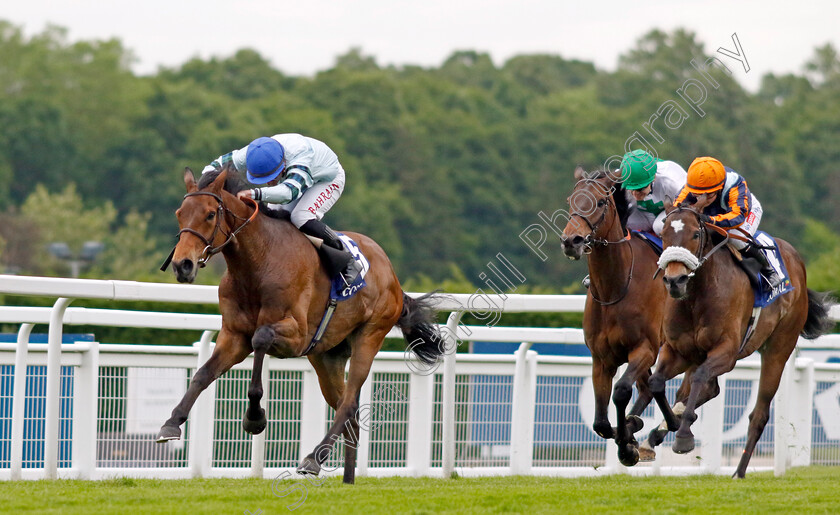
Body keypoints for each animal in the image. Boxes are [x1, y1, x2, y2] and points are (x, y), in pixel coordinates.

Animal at [155, 168, 442, 484]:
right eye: (180, 213)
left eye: (209, 214)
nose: (182, 265)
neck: (258, 263)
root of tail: (393, 278)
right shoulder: (234, 335)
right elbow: (203, 374)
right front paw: (171, 424)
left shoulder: (296, 336)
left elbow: (261, 338)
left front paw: (255, 419)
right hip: (326, 357)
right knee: (348, 411)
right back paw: (348, 479)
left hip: (370, 335)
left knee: (349, 404)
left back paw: (313, 459)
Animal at [560, 168, 680, 468]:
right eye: (570, 200)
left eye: (601, 202)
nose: (571, 241)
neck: (615, 288)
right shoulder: (601, 358)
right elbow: (601, 423)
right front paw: (627, 436)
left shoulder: (645, 348)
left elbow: (622, 390)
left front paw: (627, 442)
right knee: (650, 387)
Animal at [652, 204, 832, 478]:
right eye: (663, 235)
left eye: (695, 234)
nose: (675, 281)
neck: (697, 296)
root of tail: (798, 263)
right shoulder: (678, 351)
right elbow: (656, 382)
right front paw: (670, 423)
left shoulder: (726, 352)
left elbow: (700, 378)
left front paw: (683, 435)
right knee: (704, 389)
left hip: (778, 349)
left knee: (758, 414)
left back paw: (739, 471)